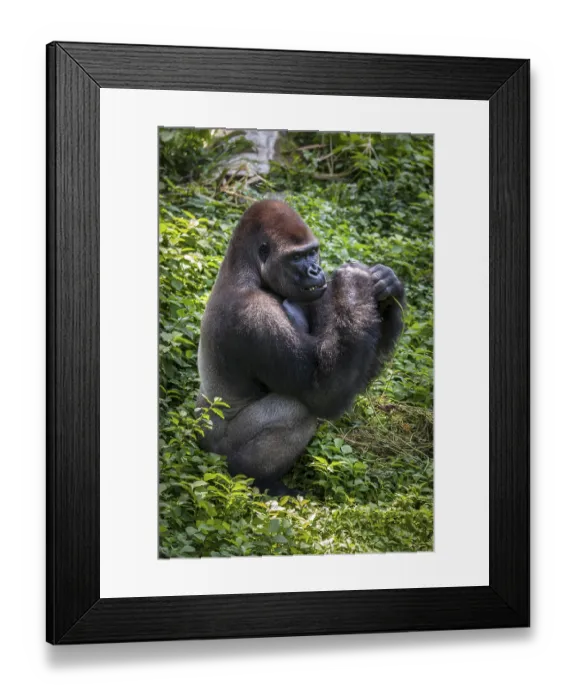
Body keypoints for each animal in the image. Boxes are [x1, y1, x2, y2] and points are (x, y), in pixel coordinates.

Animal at [196, 200, 405, 497]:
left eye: (313, 252)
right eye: (296, 258)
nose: (315, 271)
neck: (245, 271)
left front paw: (388, 287)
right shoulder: (254, 315)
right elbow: (322, 391)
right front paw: (353, 283)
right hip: (217, 452)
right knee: (296, 410)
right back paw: (255, 478)